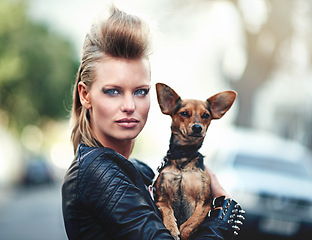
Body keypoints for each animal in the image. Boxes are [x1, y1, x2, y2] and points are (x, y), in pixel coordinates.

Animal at [154, 83, 236, 240]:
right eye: (184, 113)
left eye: (206, 115)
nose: (197, 127)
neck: (183, 155)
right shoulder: (160, 198)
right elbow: (167, 211)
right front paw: (171, 227)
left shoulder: (204, 203)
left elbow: (188, 226)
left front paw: (183, 232)